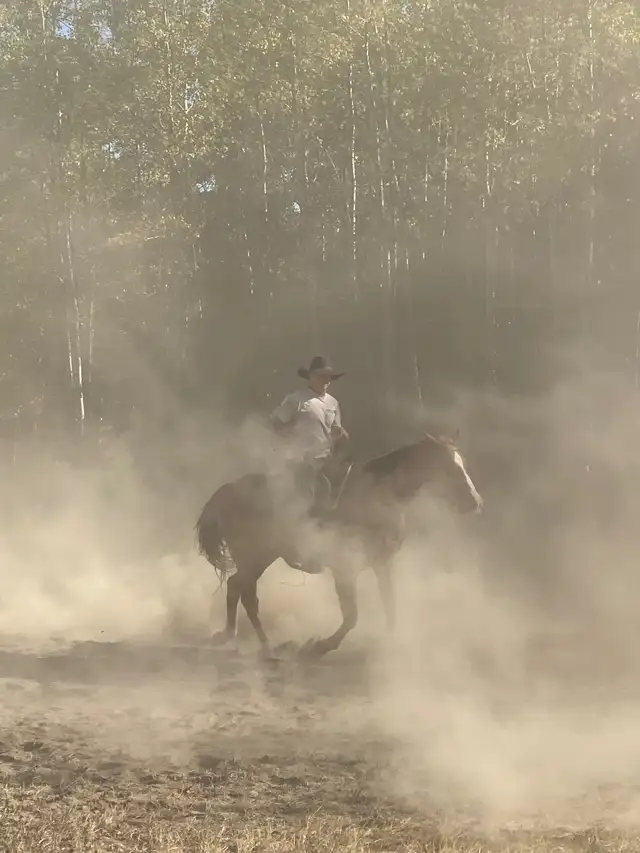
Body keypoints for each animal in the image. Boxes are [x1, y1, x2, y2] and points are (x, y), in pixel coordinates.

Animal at [195, 432, 482, 659]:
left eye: (463, 464)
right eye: (449, 469)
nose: (475, 502)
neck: (375, 497)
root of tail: (229, 489)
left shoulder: (381, 564)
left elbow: (390, 605)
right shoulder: (345, 568)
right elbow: (351, 616)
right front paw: (317, 647)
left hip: (260, 558)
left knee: (236, 586)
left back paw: (234, 636)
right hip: (254, 556)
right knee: (246, 594)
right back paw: (267, 647)